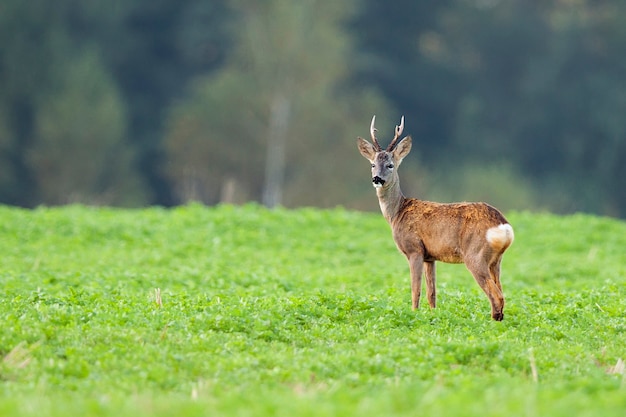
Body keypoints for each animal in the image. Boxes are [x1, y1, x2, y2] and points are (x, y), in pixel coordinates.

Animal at [356, 115, 512, 320]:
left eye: (390, 165)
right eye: (373, 164)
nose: (377, 179)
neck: (397, 212)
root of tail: (503, 225)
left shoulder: (414, 249)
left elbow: (415, 289)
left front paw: (414, 313)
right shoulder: (430, 257)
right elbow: (432, 293)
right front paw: (432, 315)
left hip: (475, 255)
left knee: (496, 295)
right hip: (496, 260)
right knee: (501, 291)